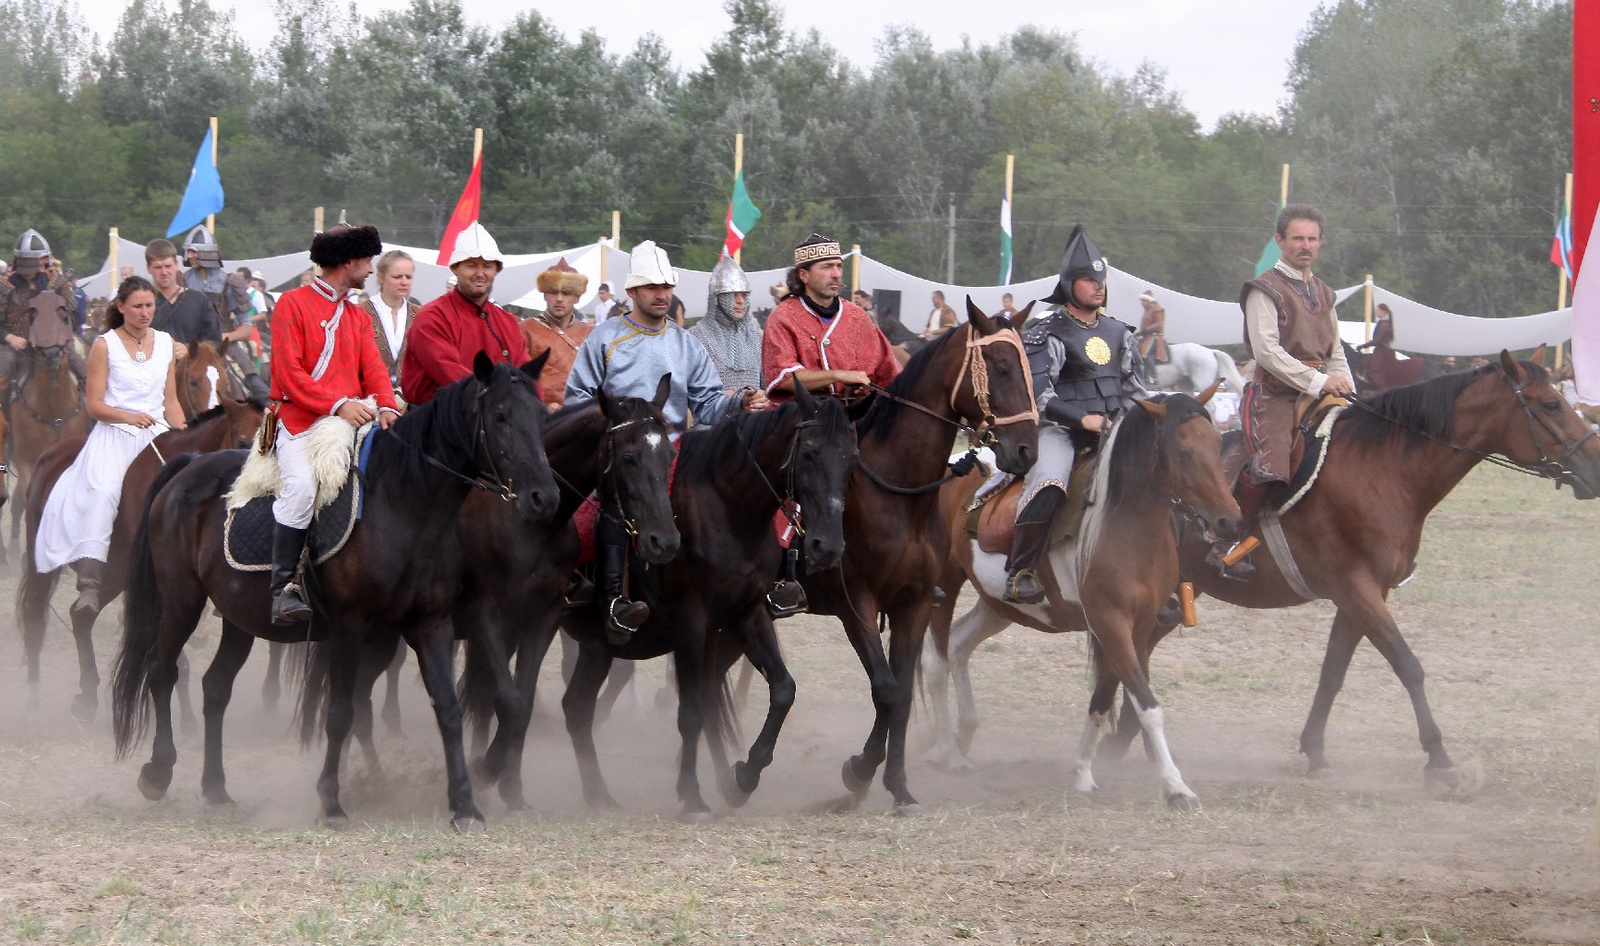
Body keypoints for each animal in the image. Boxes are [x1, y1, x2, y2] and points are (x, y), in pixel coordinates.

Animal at [17, 398, 262, 717]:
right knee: (34, 616)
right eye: (243, 441)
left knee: (81, 616)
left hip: (115, 573)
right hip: (43, 564)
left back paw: (87, 698)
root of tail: (49, 455)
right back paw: (33, 696)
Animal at [109, 355, 560, 832]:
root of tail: (190, 464)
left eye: (541, 416)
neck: (404, 506)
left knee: (215, 688)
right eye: (501, 416)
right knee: (162, 671)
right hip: (181, 599)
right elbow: (340, 712)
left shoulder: (431, 624)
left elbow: (449, 710)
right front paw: (330, 802)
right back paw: (158, 772)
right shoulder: (349, 628)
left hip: (239, 618)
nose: (544, 498)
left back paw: (215, 788)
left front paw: (465, 804)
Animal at [812, 297, 1036, 813]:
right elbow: (888, 689)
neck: (895, 493)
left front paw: (896, 784)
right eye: (999, 366)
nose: (1027, 451)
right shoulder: (856, 601)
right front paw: (858, 772)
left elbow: (901, 695)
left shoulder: (913, 603)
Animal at [921, 384, 1241, 806]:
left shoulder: (1137, 627)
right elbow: (1147, 705)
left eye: (1218, 443)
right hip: (946, 582)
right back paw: (949, 753)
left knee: (959, 645)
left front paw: (1083, 771)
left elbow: (1104, 699)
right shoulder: (1110, 622)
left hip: (999, 606)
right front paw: (1176, 787)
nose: (1231, 522)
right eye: (1184, 451)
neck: (1123, 523)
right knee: (936, 662)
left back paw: (963, 733)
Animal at [1100, 352, 1600, 787]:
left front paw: (1315, 750)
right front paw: (1439, 758)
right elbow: (1408, 665)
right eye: (1551, 404)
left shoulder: (1363, 595)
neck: (1384, 471)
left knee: (1139, 649)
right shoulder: (1358, 590)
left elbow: (1333, 672)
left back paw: (1125, 737)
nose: (1594, 465)